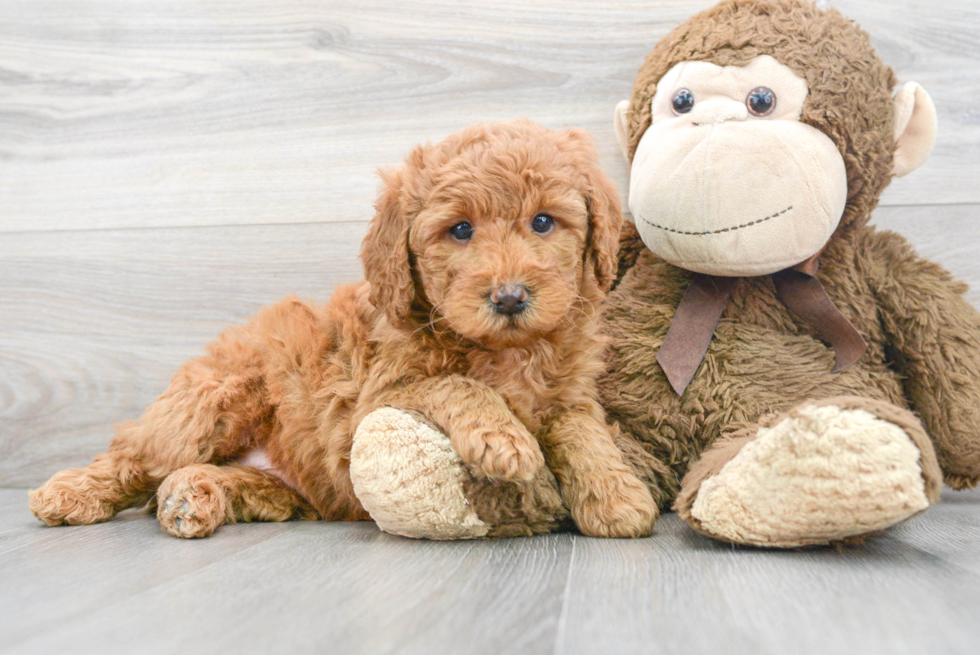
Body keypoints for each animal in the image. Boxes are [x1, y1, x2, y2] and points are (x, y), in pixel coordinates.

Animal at [30, 120, 660, 540]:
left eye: (544, 222)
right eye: (460, 230)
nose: (509, 297)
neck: (507, 351)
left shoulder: (570, 394)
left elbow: (583, 432)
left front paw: (617, 496)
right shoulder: (377, 399)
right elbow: (458, 385)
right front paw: (504, 438)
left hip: (285, 482)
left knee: (227, 481)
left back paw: (195, 498)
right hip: (218, 398)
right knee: (136, 455)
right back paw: (71, 494)